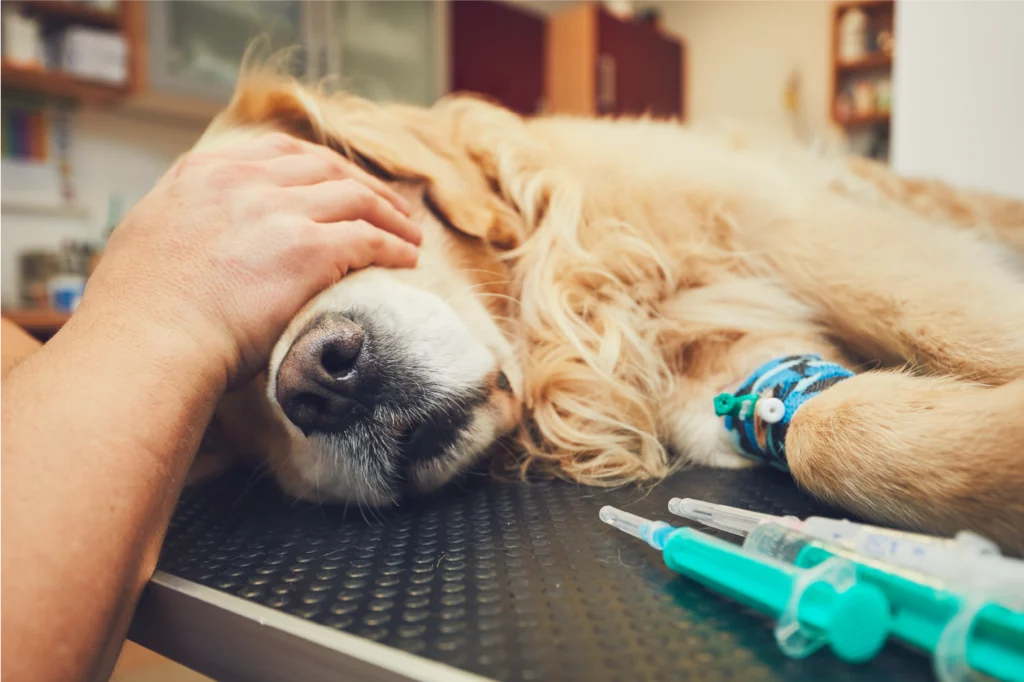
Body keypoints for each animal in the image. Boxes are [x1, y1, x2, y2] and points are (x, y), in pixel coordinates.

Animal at [192, 69, 1024, 548]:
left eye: (327, 218)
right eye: (222, 393)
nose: (317, 381)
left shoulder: (813, 234)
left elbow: (960, 329)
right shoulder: (730, 385)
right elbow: (830, 431)